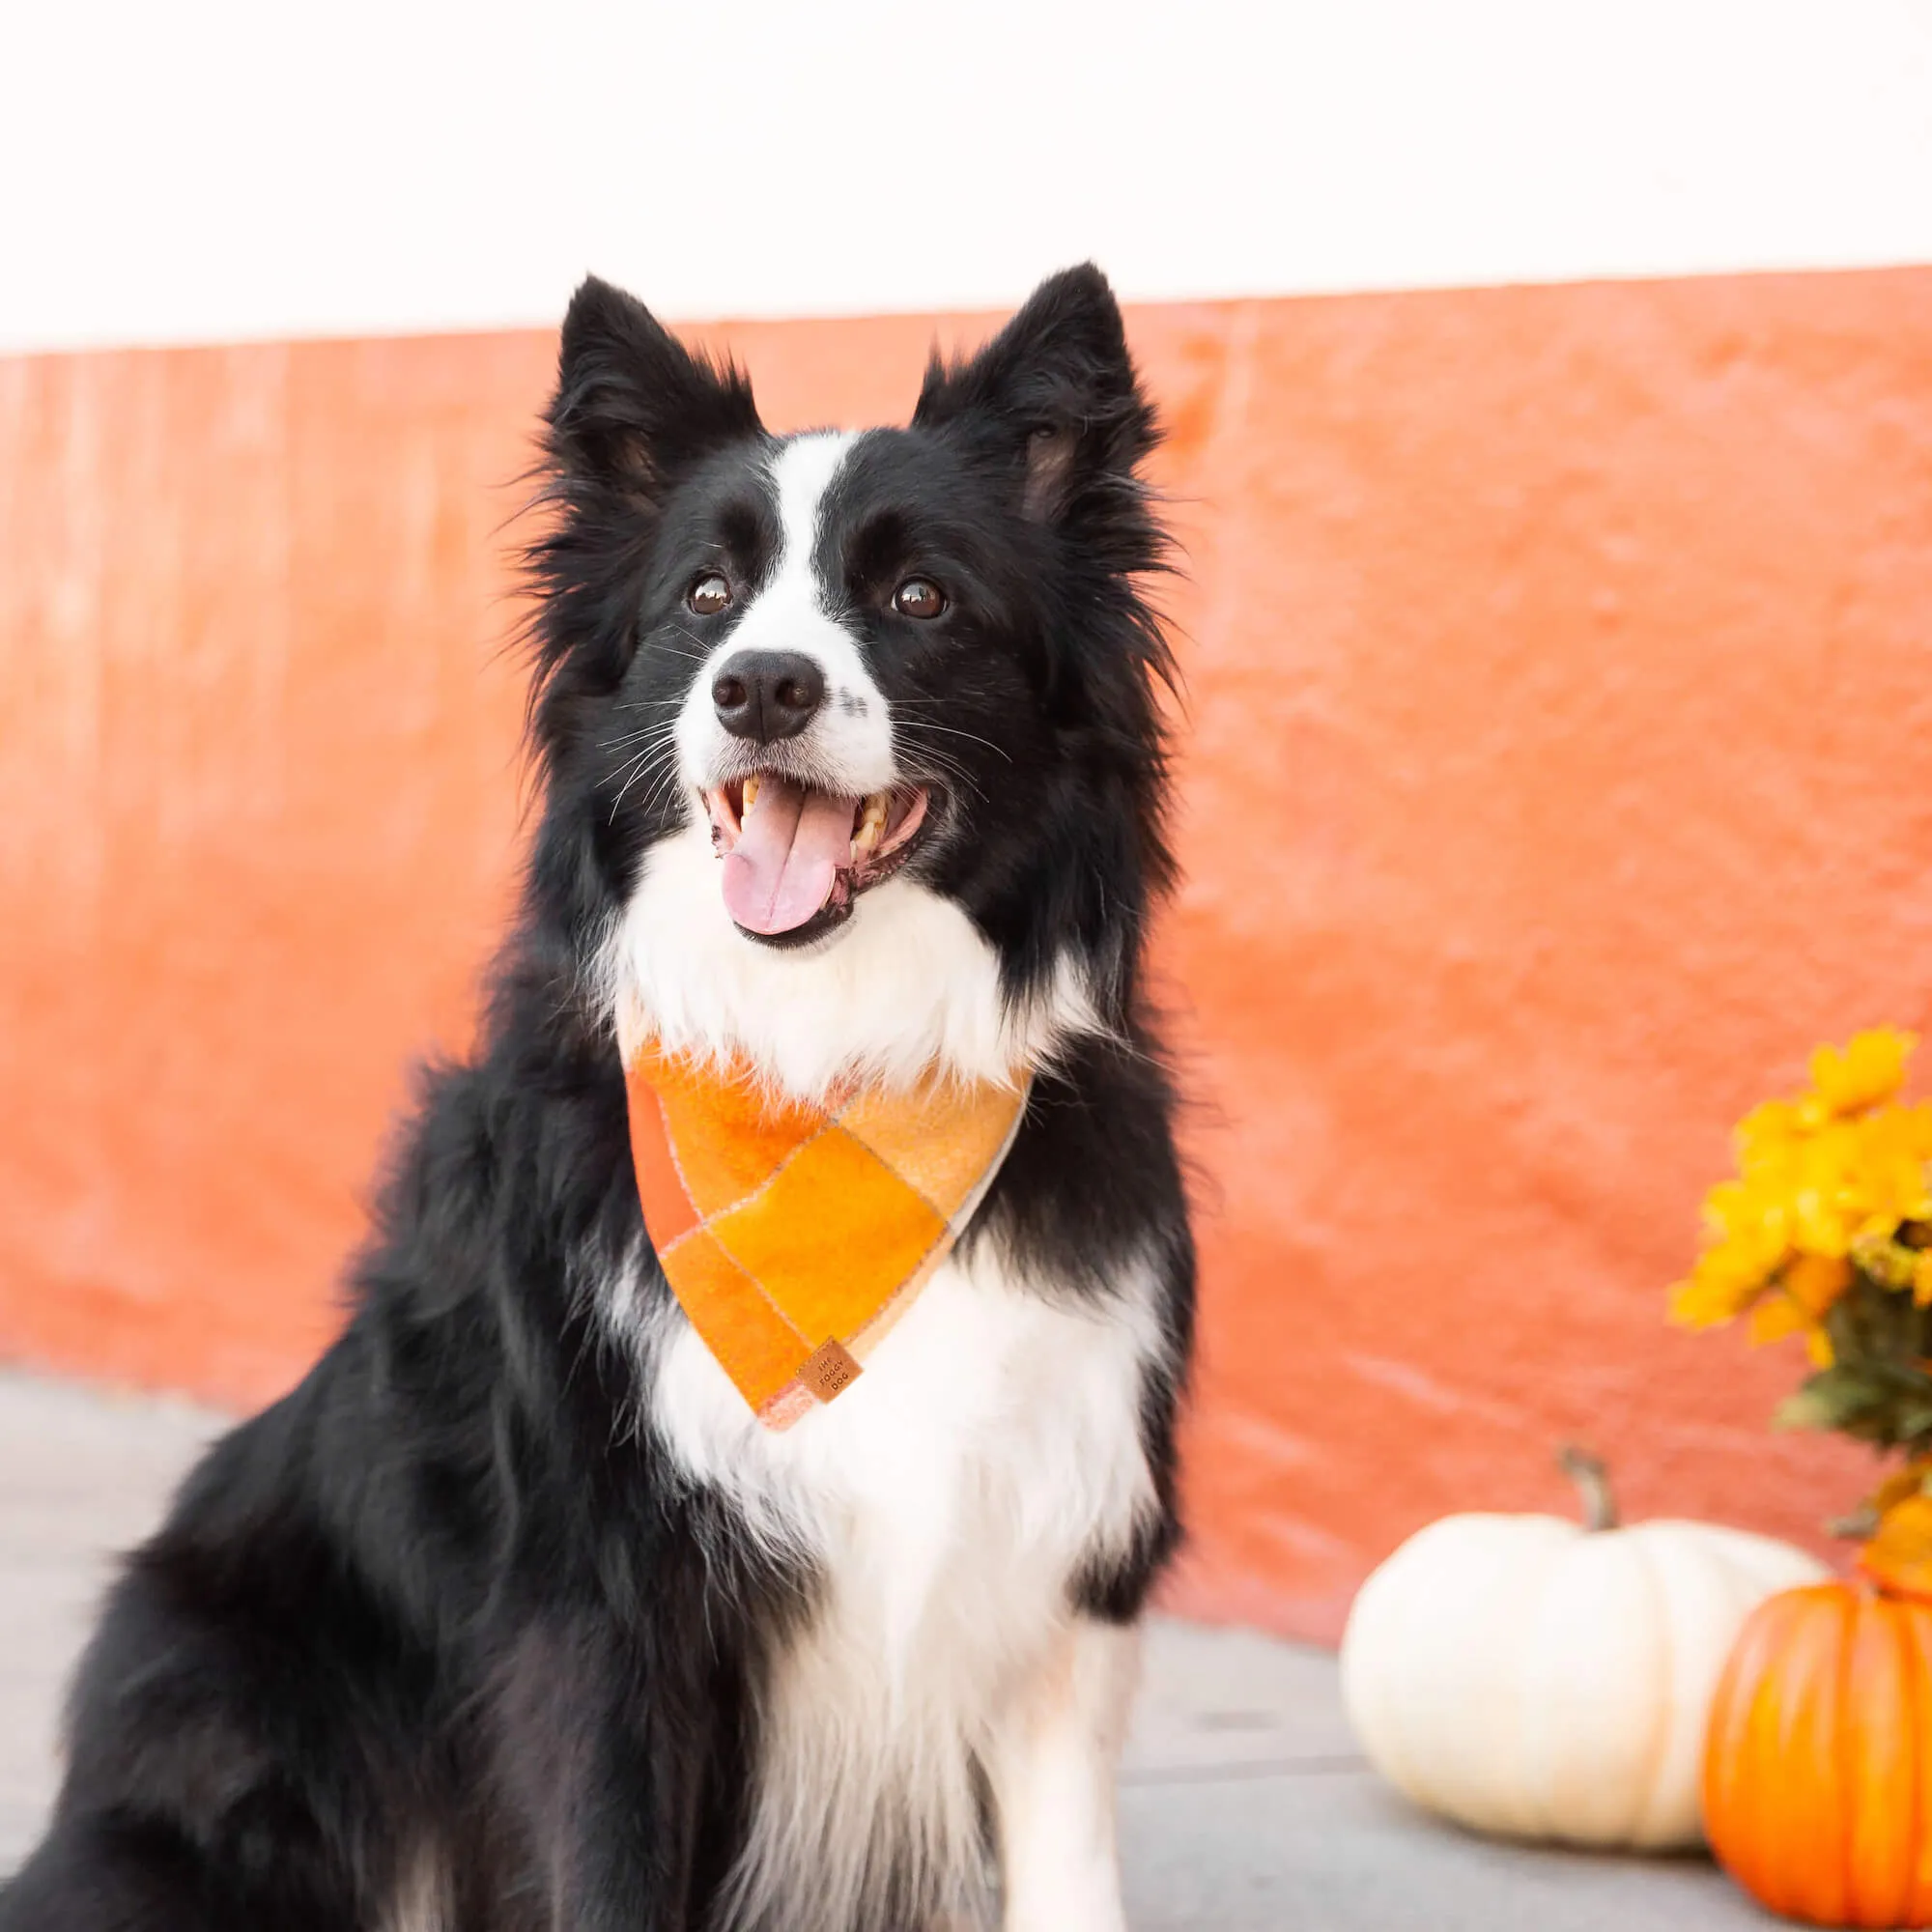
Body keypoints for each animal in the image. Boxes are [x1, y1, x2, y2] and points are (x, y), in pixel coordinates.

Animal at [3, 261, 1190, 1932]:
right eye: (705, 597)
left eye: (921, 599)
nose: (761, 686)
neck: (829, 1071)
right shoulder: (605, 1591)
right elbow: (608, 1864)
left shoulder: (1060, 1563)